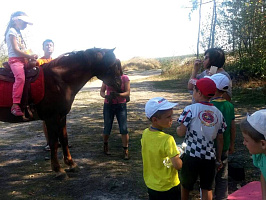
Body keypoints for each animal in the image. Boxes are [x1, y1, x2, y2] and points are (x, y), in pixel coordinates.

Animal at [0, 47, 120, 179]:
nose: (120, 85)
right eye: (113, 65)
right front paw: (58, 169)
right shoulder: (51, 118)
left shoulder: (61, 116)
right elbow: (53, 143)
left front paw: (71, 164)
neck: (58, 80)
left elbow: (63, 139)